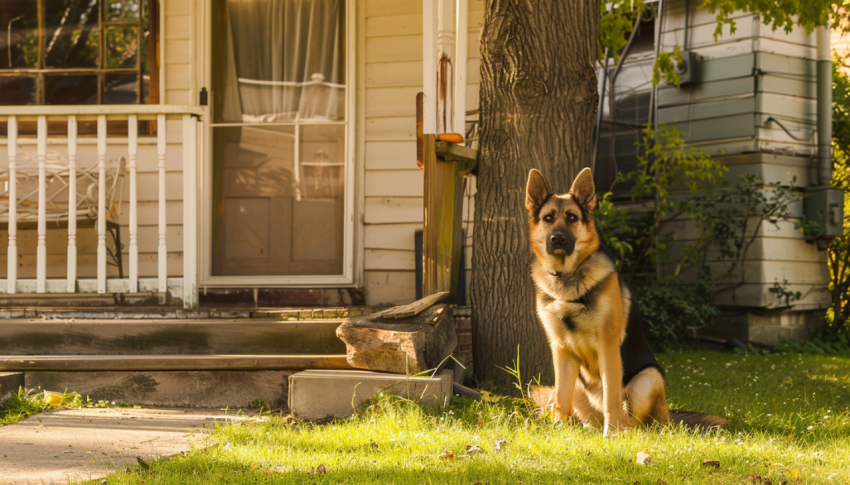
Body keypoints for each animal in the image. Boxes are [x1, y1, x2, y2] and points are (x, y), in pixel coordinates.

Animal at [524, 167, 668, 434]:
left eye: (572, 217)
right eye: (548, 218)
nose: (557, 239)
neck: (567, 275)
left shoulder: (608, 347)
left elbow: (611, 395)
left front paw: (612, 433)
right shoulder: (561, 350)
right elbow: (561, 398)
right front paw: (558, 430)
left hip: (646, 380)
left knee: (638, 421)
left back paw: (625, 430)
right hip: (581, 386)